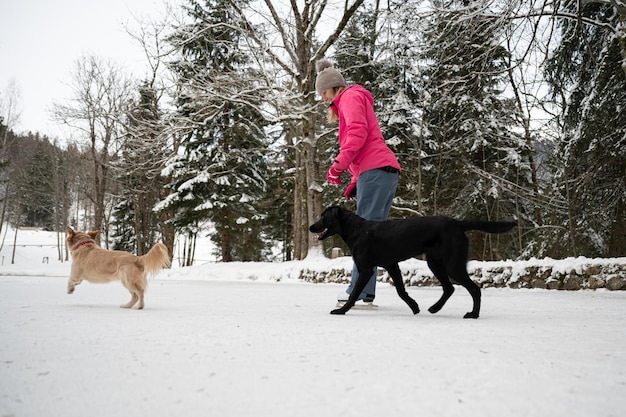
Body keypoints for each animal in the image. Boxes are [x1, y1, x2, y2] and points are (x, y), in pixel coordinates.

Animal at [308, 206, 516, 318]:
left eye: (324, 216)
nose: (310, 227)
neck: (356, 230)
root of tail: (457, 223)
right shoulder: (392, 265)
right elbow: (401, 290)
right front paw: (414, 306)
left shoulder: (366, 269)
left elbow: (353, 295)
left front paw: (342, 310)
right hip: (435, 263)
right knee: (449, 288)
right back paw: (434, 308)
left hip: (452, 265)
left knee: (474, 289)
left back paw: (473, 314)